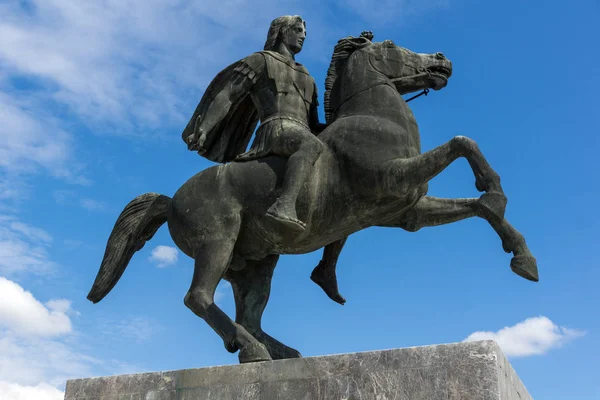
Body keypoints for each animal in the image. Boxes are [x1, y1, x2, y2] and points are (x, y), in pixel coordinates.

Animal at [85, 36, 540, 364]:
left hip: (254, 265)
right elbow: (463, 142)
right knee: (199, 298)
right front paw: (492, 188)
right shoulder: (395, 178)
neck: (375, 118)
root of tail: (171, 200)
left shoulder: (406, 210)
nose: (442, 60)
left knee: (247, 314)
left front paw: (522, 256)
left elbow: (478, 205)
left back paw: (275, 349)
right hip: (218, 242)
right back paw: (254, 348)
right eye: (392, 45)